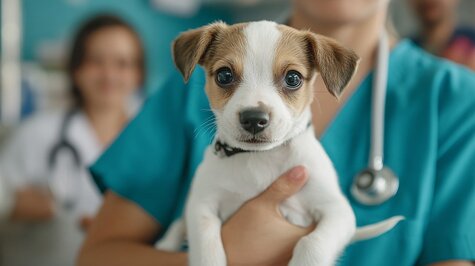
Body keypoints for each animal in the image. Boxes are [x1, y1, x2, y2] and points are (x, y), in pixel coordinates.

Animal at [158, 20, 404, 266]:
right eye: (224, 75)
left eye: (293, 78)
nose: (254, 119)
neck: (260, 157)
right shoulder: (201, 205)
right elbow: (207, 244)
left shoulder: (337, 211)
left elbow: (312, 242)